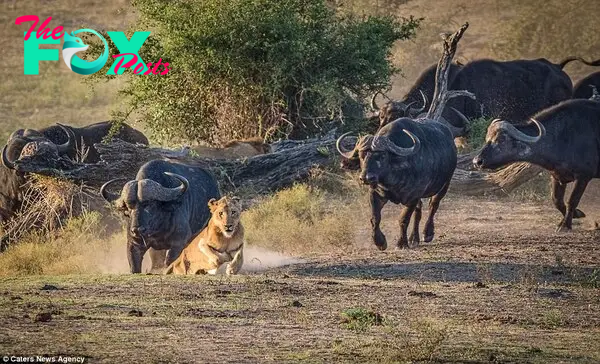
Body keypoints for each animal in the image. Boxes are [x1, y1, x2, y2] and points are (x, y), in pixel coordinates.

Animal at [338, 118, 454, 249]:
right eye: (361, 155)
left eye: (382, 156)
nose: (366, 177)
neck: (392, 180)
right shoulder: (375, 193)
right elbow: (375, 218)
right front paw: (380, 242)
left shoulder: (413, 197)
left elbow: (403, 219)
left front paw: (401, 243)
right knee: (419, 211)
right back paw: (414, 238)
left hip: (445, 185)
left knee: (433, 206)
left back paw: (427, 233)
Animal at [474, 99, 600, 230]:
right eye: (487, 138)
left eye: (501, 140)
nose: (477, 161)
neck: (564, 137)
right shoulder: (557, 175)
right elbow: (556, 200)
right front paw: (576, 214)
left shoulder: (583, 176)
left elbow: (572, 200)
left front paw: (565, 225)